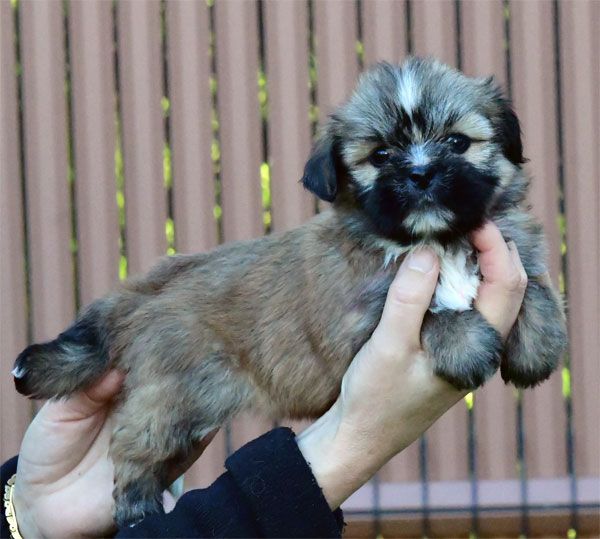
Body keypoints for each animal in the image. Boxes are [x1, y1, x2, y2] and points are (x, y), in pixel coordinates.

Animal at [12, 59, 568, 528]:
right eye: (380, 156)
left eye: (457, 142)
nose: (420, 173)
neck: (434, 240)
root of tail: (141, 293)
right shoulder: (361, 324)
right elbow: (436, 315)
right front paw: (467, 342)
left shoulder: (514, 248)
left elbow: (537, 289)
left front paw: (537, 349)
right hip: (170, 400)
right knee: (131, 446)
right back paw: (137, 509)